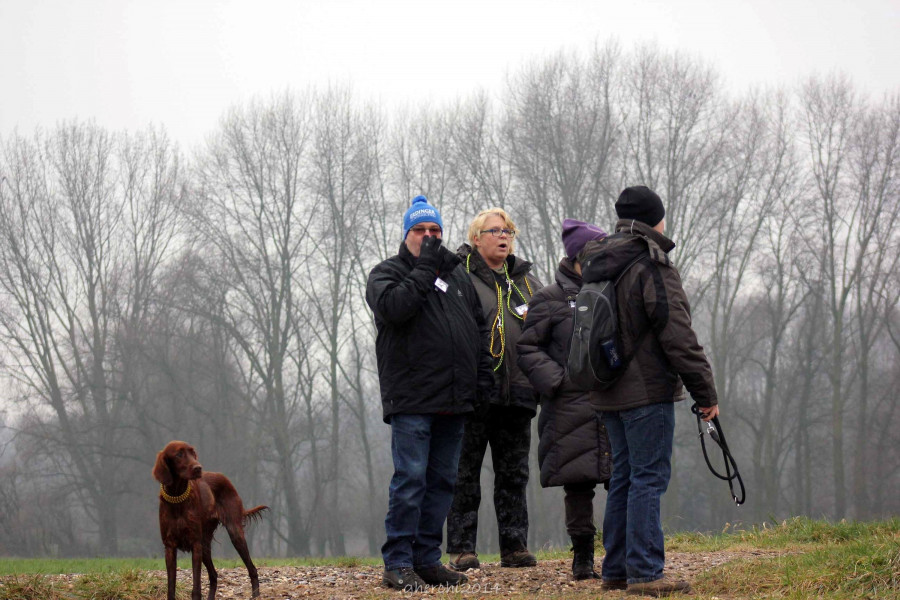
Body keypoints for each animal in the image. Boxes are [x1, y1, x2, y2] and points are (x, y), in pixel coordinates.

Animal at [153, 440, 268, 600]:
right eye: (179, 454)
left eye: (192, 452)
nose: (198, 468)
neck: (177, 498)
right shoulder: (170, 546)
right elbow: (171, 587)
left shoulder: (195, 544)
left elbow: (196, 587)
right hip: (205, 545)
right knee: (213, 575)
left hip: (234, 534)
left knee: (252, 569)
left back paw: (256, 595)